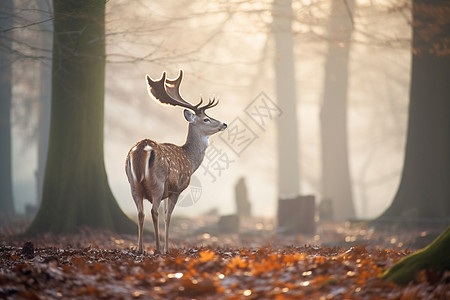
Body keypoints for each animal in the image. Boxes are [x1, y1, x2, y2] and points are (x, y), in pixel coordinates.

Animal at [125, 69, 227, 253]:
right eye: (206, 119)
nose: (224, 124)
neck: (190, 160)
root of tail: (141, 149)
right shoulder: (177, 188)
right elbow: (168, 216)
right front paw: (167, 249)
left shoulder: (167, 191)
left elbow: (165, 214)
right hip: (157, 182)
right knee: (154, 212)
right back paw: (157, 248)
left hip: (133, 184)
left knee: (140, 213)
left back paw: (140, 249)